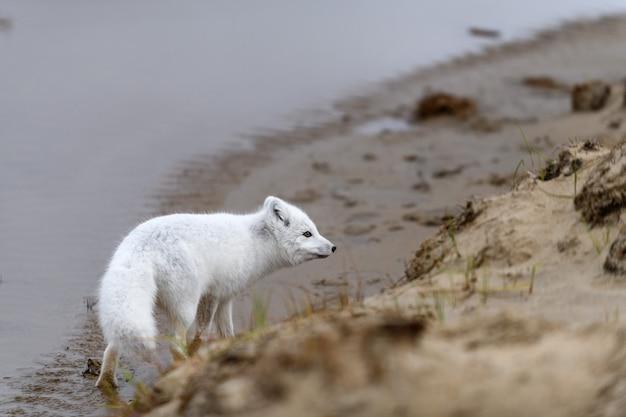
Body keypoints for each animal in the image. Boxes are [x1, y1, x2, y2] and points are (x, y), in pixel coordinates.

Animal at [94, 197, 334, 388]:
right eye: (307, 233)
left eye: (314, 230)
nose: (334, 247)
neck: (254, 243)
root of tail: (140, 249)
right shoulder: (218, 295)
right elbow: (205, 330)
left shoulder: (222, 297)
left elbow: (222, 331)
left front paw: (230, 346)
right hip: (185, 307)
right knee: (175, 344)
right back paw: (184, 366)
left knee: (112, 346)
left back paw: (106, 382)